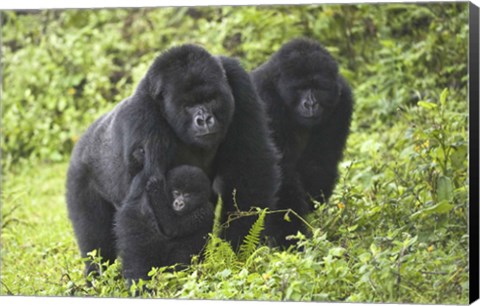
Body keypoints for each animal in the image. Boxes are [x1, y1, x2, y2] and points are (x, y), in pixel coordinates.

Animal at [65, 44, 280, 278]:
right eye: (188, 105)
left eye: (211, 98)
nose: (204, 120)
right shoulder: (142, 115)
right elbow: (140, 209)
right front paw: (143, 281)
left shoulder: (238, 80)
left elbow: (249, 166)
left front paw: (240, 249)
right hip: (78, 174)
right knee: (95, 244)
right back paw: (95, 275)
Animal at [253, 38, 354, 247]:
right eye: (300, 88)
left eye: (318, 87)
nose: (311, 104)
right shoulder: (265, 100)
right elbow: (281, 173)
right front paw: (289, 238)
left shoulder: (342, 99)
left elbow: (319, 164)